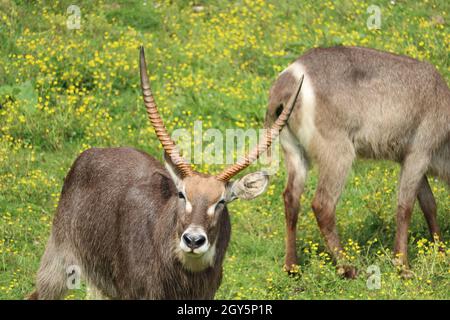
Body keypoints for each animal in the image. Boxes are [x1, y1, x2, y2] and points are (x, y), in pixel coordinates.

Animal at [266, 46, 448, 278]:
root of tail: (288, 81)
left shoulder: (410, 159)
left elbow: (429, 205)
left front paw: (441, 253)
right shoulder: (419, 153)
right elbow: (405, 207)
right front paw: (403, 267)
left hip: (294, 151)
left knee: (291, 197)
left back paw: (292, 267)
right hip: (338, 153)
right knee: (322, 205)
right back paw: (347, 267)